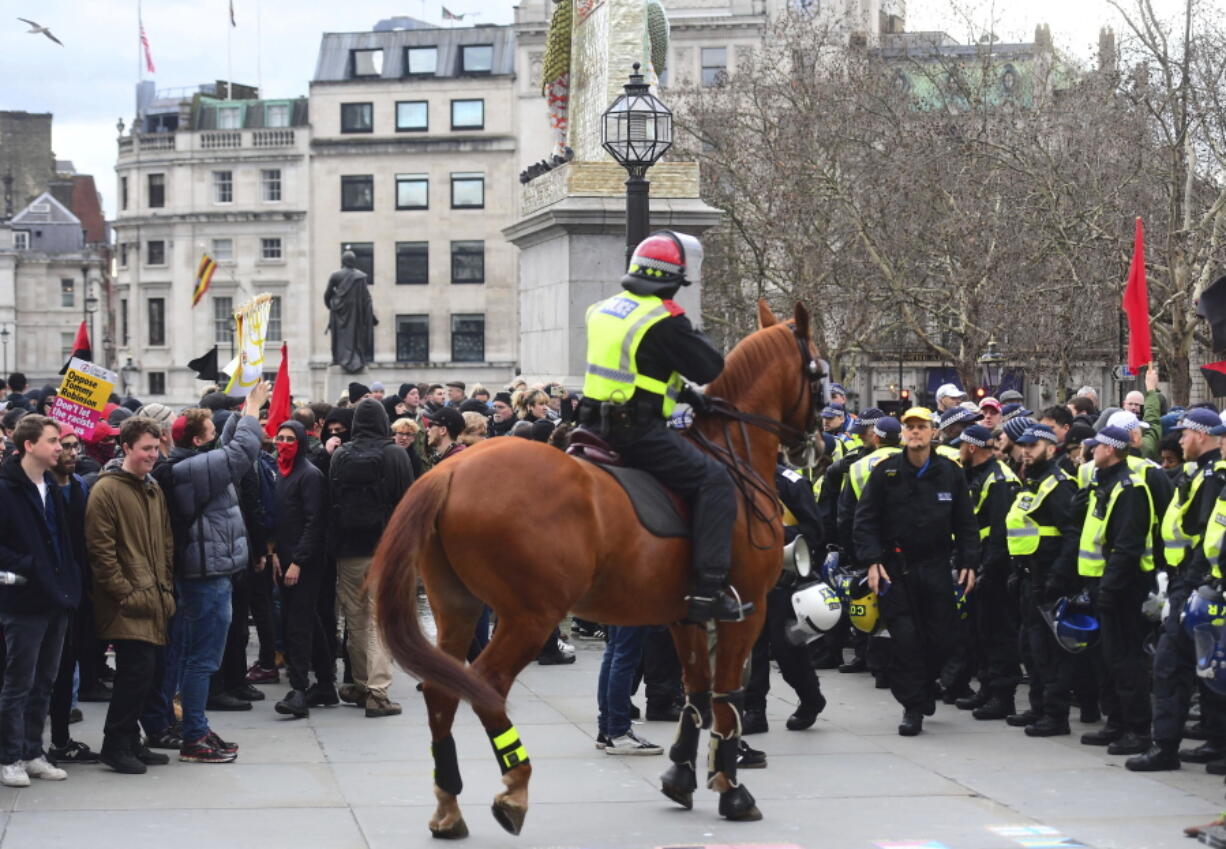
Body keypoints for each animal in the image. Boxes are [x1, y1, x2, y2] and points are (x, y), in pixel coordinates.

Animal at [367, 298, 818, 834]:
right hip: (529, 616)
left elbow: (696, 689)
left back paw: (449, 807)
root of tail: (451, 471)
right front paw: (731, 788)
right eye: (818, 368)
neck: (732, 458)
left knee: (443, 689)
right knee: (487, 685)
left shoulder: (684, 613)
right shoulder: (745, 611)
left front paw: (681, 775)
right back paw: (514, 788)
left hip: (456, 605)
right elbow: (727, 694)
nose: (812, 442)